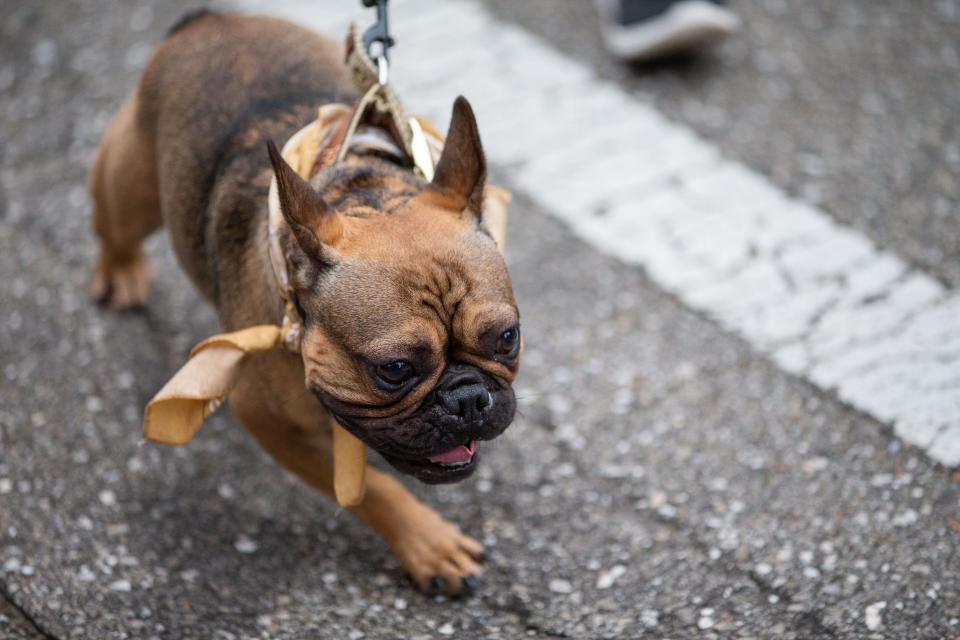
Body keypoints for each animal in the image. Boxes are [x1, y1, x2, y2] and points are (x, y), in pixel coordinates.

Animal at [88, 12, 524, 596]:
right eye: (394, 369)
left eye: (507, 339)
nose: (469, 398)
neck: (364, 191)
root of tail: (211, 18)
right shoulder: (271, 423)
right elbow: (373, 490)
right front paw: (429, 543)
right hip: (131, 185)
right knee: (113, 221)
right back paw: (120, 270)